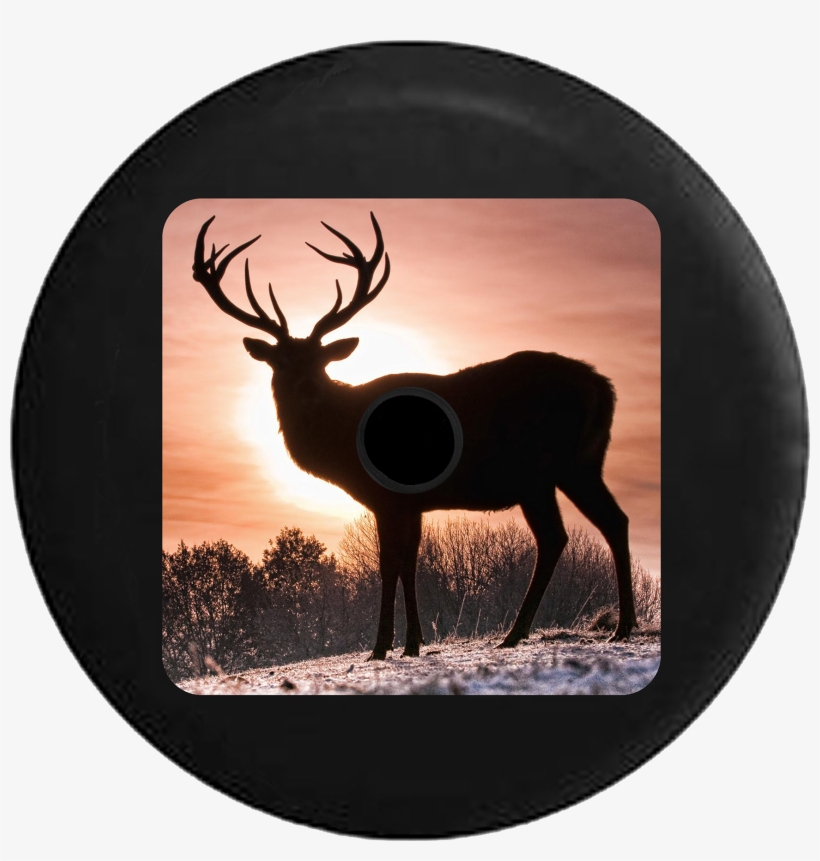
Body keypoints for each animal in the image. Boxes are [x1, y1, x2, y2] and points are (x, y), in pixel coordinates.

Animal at [192, 213, 637, 660]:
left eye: (321, 361)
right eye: (280, 362)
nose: (308, 391)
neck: (342, 438)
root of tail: (603, 387)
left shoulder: (387, 496)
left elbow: (389, 564)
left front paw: (382, 646)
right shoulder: (413, 503)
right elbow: (410, 562)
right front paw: (414, 643)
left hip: (540, 469)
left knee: (557, 536)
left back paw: (522, 632)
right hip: (581, 463)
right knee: (611, 520)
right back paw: (621, 626)